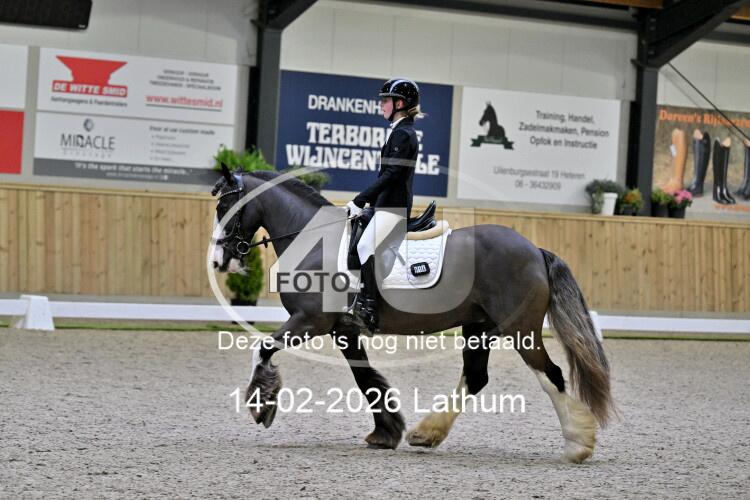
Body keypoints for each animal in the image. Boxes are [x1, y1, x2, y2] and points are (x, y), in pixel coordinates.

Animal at [210, 165, 613, 463]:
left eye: (223, 208)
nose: (218, 260)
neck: (314, 241)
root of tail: (534, 250)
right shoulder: (343, 329)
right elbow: (365, 378)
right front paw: (385, 432)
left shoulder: (311, 321)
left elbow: (263, 348)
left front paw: (262, 406)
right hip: (478, 327)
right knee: (476, 377)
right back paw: (426, 434)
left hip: (520, 330)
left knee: (551, 374)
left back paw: (577, 445)